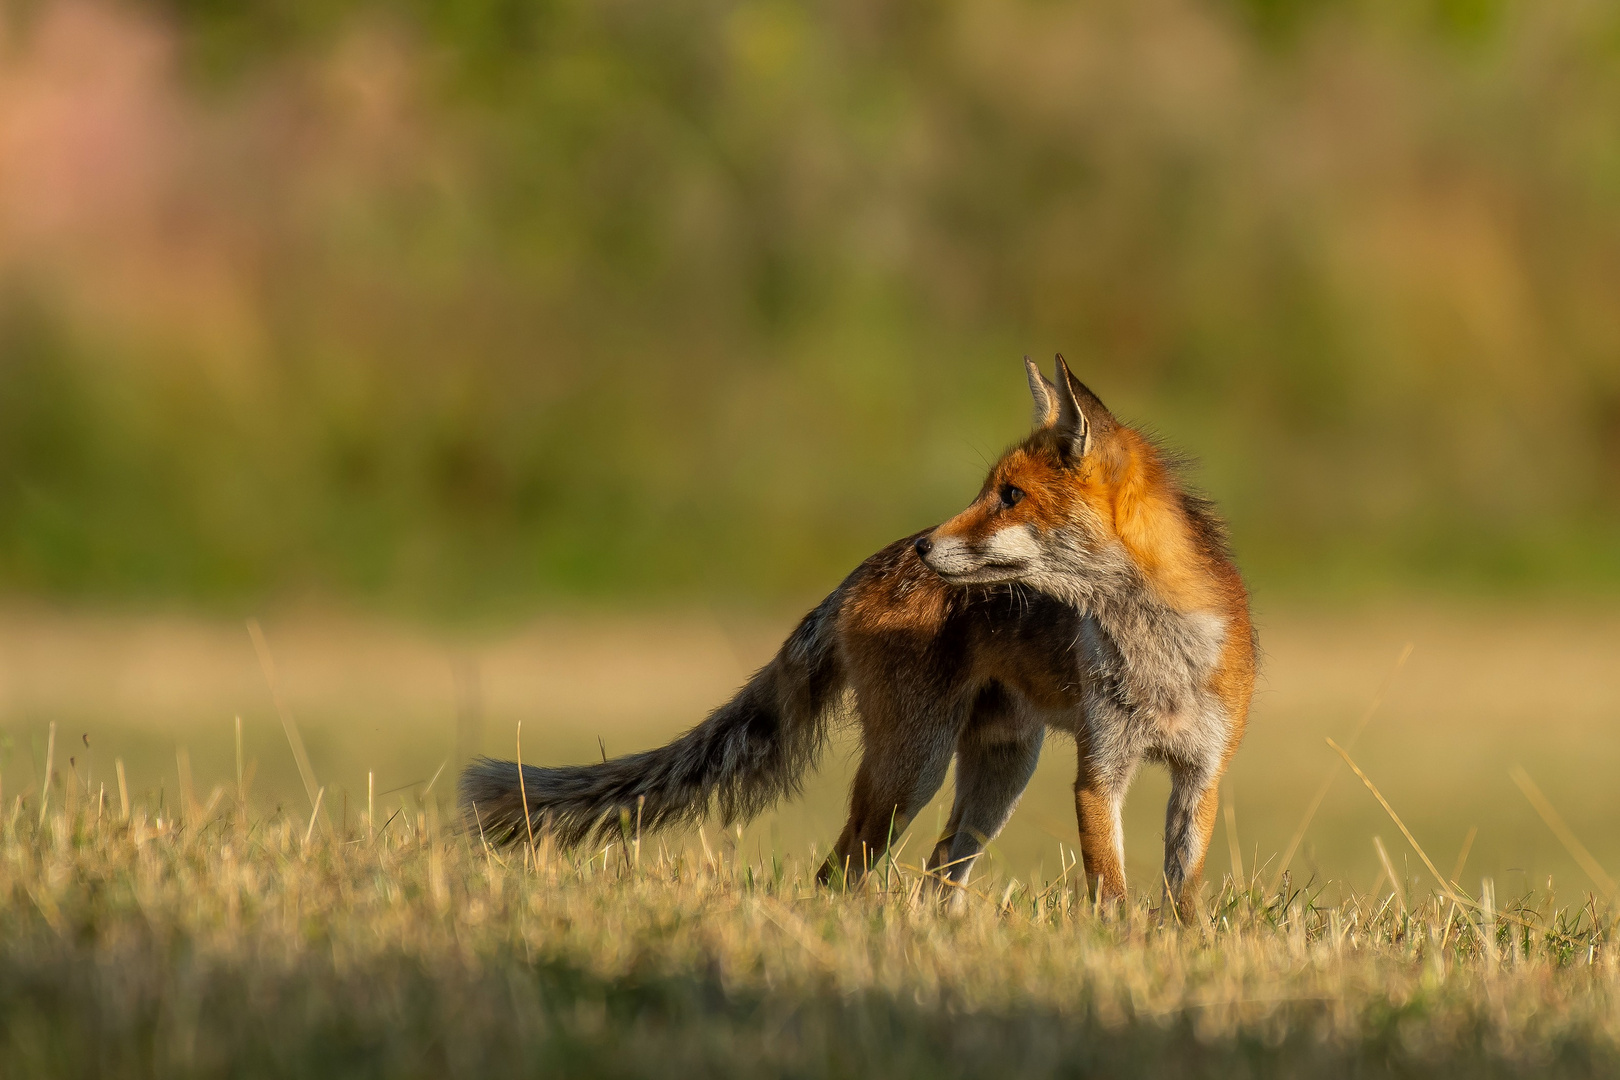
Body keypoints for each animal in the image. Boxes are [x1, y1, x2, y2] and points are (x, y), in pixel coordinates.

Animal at [463, 359, 1257, 919]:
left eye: (1010, 498)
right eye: (987, 491)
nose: (929, 546)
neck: (1160, 652)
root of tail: (864, 568)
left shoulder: (1203, 774)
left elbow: (1181, 894)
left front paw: (1181, 948)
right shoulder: (1101, 769)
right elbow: (1111, 893)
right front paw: (1121, 945)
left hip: (996, 773)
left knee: (937, 875)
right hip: (913, 770)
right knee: (838, 873)